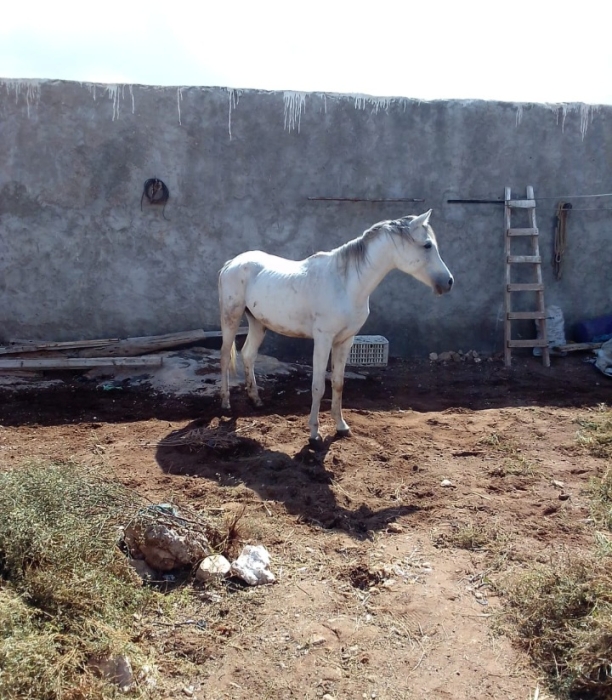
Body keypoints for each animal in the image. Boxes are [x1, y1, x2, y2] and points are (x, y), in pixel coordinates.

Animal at [218, 210, 453, 443]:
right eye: (427, 245)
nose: (449, 282)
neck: (346, 284)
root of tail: (231, 263)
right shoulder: (323, 339)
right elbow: (318, 386)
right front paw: (314, 433)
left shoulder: (345, 340)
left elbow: (338, 383)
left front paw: (341, 426)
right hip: (231, 317)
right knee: (224, 356)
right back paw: (225, 403)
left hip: (258, 322)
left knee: (248, 354)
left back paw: (256, 400)